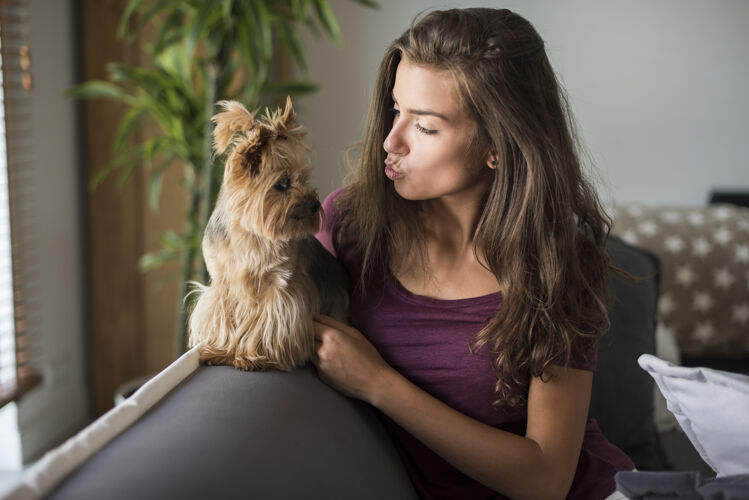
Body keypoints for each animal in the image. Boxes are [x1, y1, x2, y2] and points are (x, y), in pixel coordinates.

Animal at [187, 96, 350, 372]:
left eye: (304, 178)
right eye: (282, 184)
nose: (314, 204)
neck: (251, 233)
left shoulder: (281, 286)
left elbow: (268, 324)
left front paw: (254, 356)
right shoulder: (223, 282)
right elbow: (222, 316)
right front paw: (221, 349)